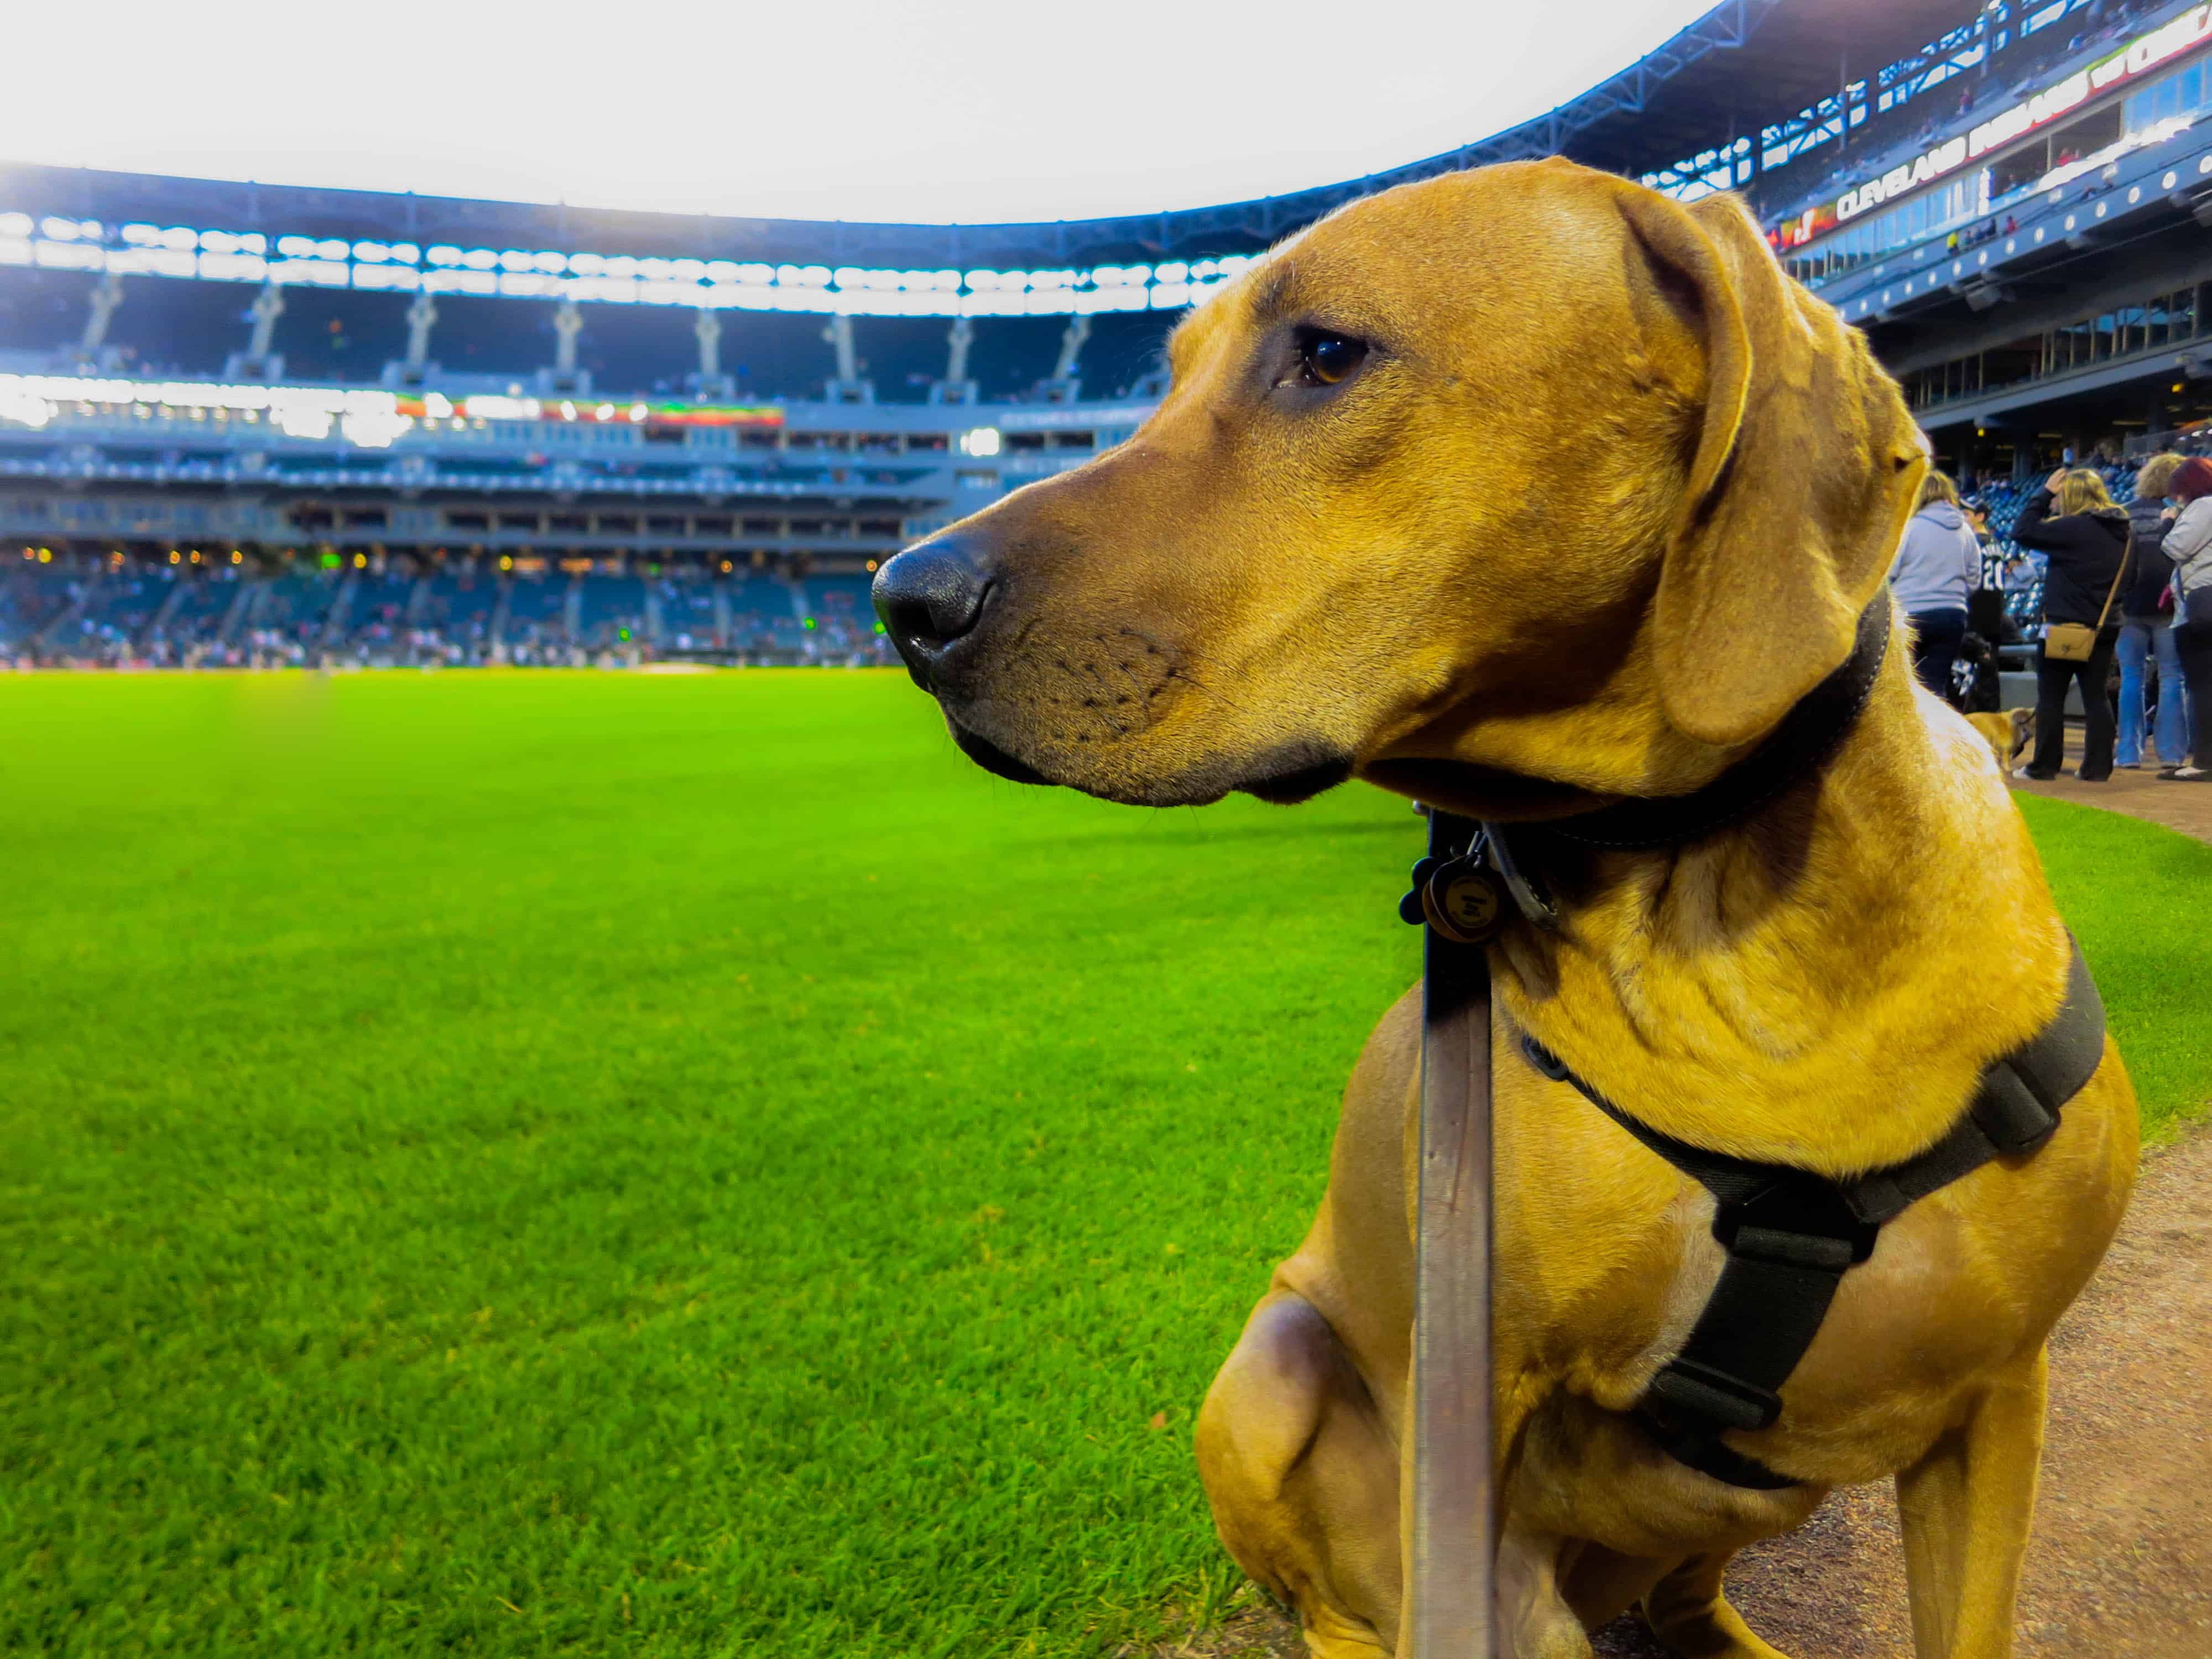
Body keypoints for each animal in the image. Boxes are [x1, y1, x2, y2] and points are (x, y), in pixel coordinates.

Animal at [872, 159, 2132, 1659]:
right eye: (1168, 381)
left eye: (1326, 354)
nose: (901, 601)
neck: (1726, 928)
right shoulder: (1476, 1431)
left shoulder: (1998, 1397)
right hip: (1271, 1376)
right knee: (1345, 1600)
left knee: (1678, 1587)